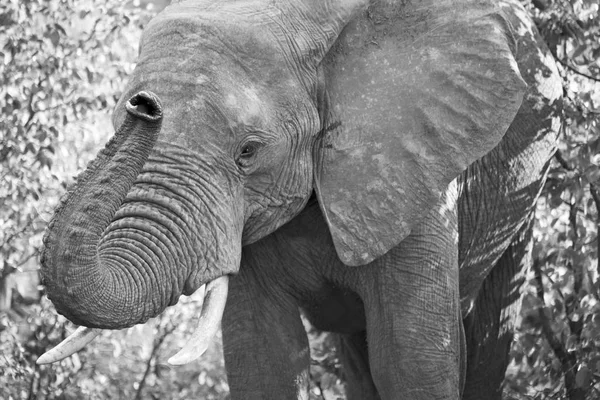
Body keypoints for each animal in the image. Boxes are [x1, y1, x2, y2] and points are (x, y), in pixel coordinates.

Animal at [37, 0, 564, 398]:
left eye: (248, 152)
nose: (144, 105)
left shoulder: (417, 169)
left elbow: (412, 360)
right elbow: (262, 358)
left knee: (490, 339)